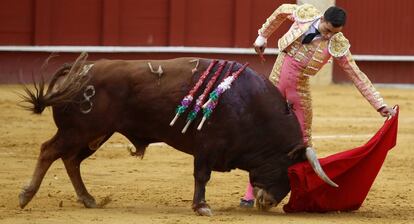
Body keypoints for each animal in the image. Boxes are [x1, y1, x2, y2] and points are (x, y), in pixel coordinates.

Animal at [20, 53, 336, 216]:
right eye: (287, 170)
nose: (269, 202)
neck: (249, 105)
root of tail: (80, 69)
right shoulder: (207, 146)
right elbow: (201, 176)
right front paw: (202, 207)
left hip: (95, 134)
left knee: (71, 160)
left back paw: (88, 199)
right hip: (79, 130)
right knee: (49, 151)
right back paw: (26, 195)